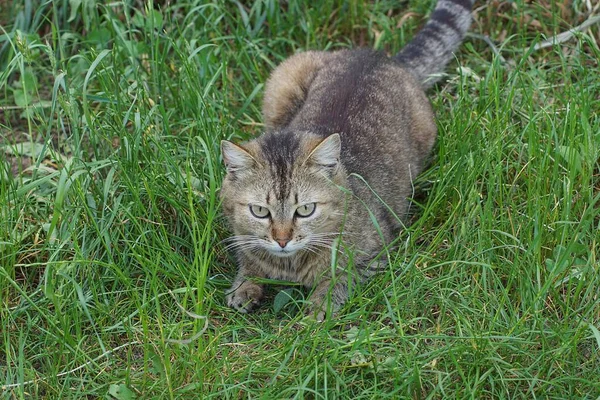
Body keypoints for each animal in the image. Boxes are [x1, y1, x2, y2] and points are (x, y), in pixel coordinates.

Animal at [219, 0, 474, 320]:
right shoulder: (244, 237)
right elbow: (248, 258)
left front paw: (315, 312)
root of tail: (379, 56)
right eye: (259, 211)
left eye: (305, 210)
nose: (282, 240)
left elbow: (337, 282)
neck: (290, 265)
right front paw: (244, 286)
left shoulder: (373, 255)